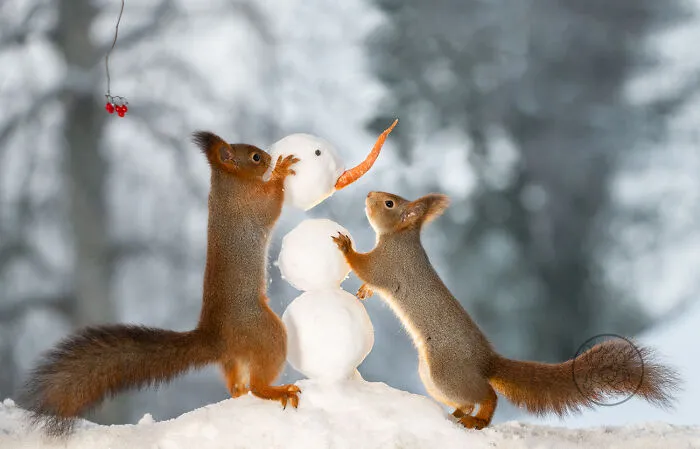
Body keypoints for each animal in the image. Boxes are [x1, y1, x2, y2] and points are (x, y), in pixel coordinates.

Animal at [21, 131, 301, 437]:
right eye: (255, 157)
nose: (270, 157)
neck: (229, 183)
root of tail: (216, 336)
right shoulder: (251, 204)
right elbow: (272, 203)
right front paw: (281, 170)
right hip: (266, 333)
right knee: (256, 385)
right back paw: (276, 391)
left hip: (234, 359)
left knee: (237, 385)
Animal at [332, 191, 679, 430]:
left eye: (390, 203)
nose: (369, 194)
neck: (400, 238)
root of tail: (487, 362)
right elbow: (370, 282)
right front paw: (363, 291)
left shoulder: (388, 263)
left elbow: (366, 267)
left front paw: (346, 246)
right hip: (432, 378)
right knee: (469, 399)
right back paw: (460, 414)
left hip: (445, 372)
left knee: (487, 395)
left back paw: (479, 420)